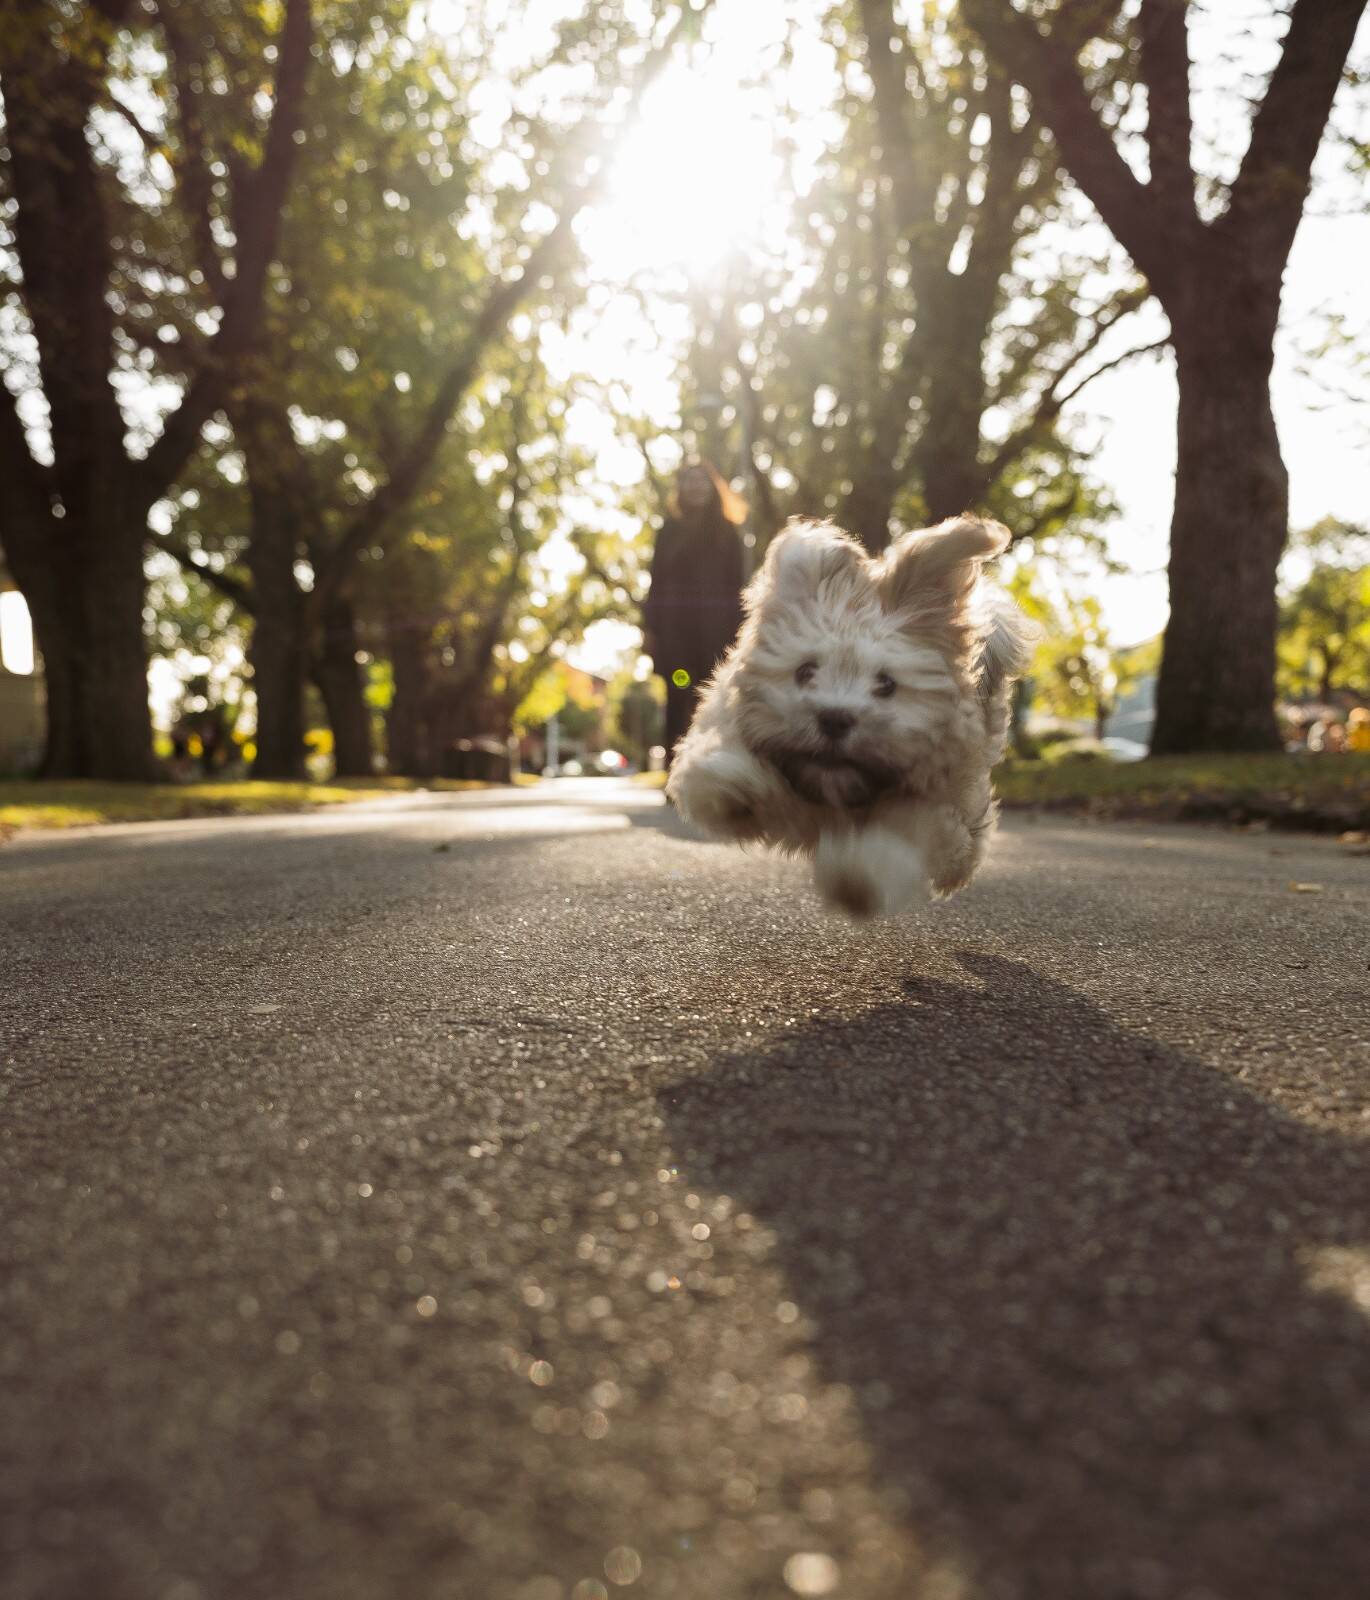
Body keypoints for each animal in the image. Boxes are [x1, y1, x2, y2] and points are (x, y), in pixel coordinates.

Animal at [665, 512, 1037, 915]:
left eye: (887, 684)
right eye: (805, 671)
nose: (834, 718)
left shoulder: (941, 803)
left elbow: (906, 839)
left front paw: (856, 877)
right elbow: (712, 776)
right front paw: (738, 786)